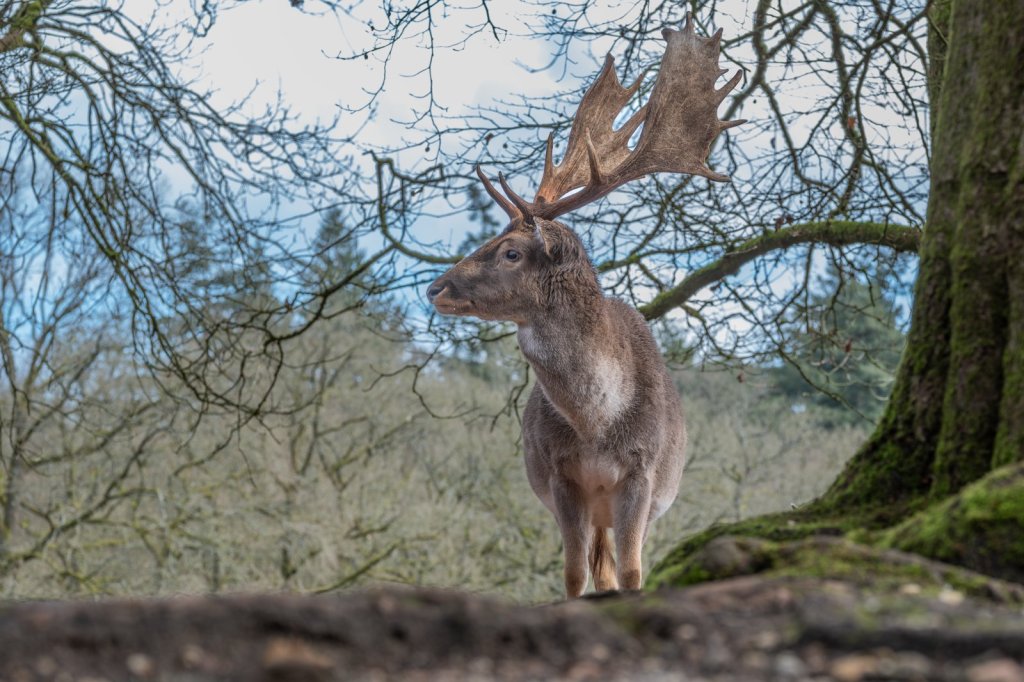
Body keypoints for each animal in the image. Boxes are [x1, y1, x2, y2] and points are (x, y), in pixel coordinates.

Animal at [427, 15, 743, 598]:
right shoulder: (559, 474)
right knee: (597, 563)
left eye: (511, 251)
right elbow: (573, 574)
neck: (598, 423)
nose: (435, 288)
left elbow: (635, 571)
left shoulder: (642, 472)